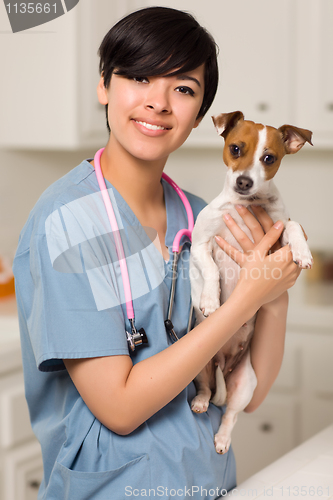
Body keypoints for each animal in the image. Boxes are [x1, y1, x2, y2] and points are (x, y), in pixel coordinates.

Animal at [189, 111, 312, 456]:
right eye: (235, 148)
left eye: (269, 158)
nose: (244, 181)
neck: (246, 204)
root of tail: (223, 364)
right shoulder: (200, 244)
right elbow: (211, 270)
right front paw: (211, 300)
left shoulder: (278, 231)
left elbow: (293, 226)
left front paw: (302, 251)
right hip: (200, 368)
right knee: (206, 390)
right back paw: (200, 402)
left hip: (246, 384)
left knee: (230, 414)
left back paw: (222, 438)